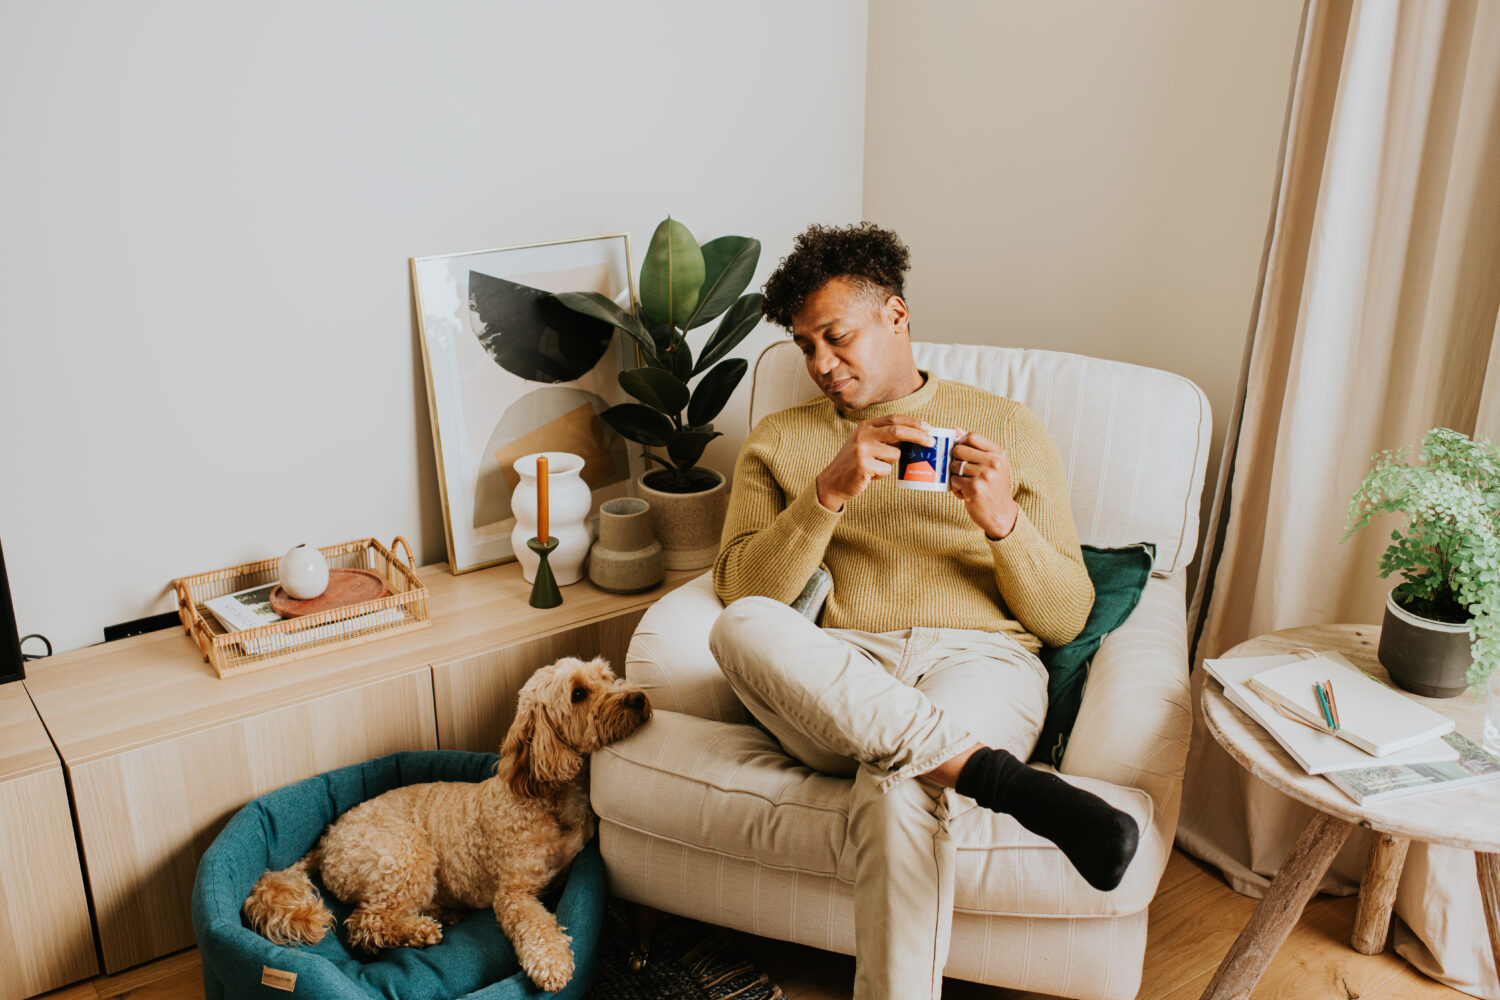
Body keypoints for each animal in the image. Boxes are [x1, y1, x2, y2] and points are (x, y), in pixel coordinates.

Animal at [242, 656, 650, 992]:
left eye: (606, 676)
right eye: (578, 693)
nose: (638, 698)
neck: (547, 798)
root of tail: (326, 840)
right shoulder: (514, 894)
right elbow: (537, 925)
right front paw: (552, 963)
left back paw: (443, 913)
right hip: (408, 855)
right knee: (365, 925)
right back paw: (421, 930)